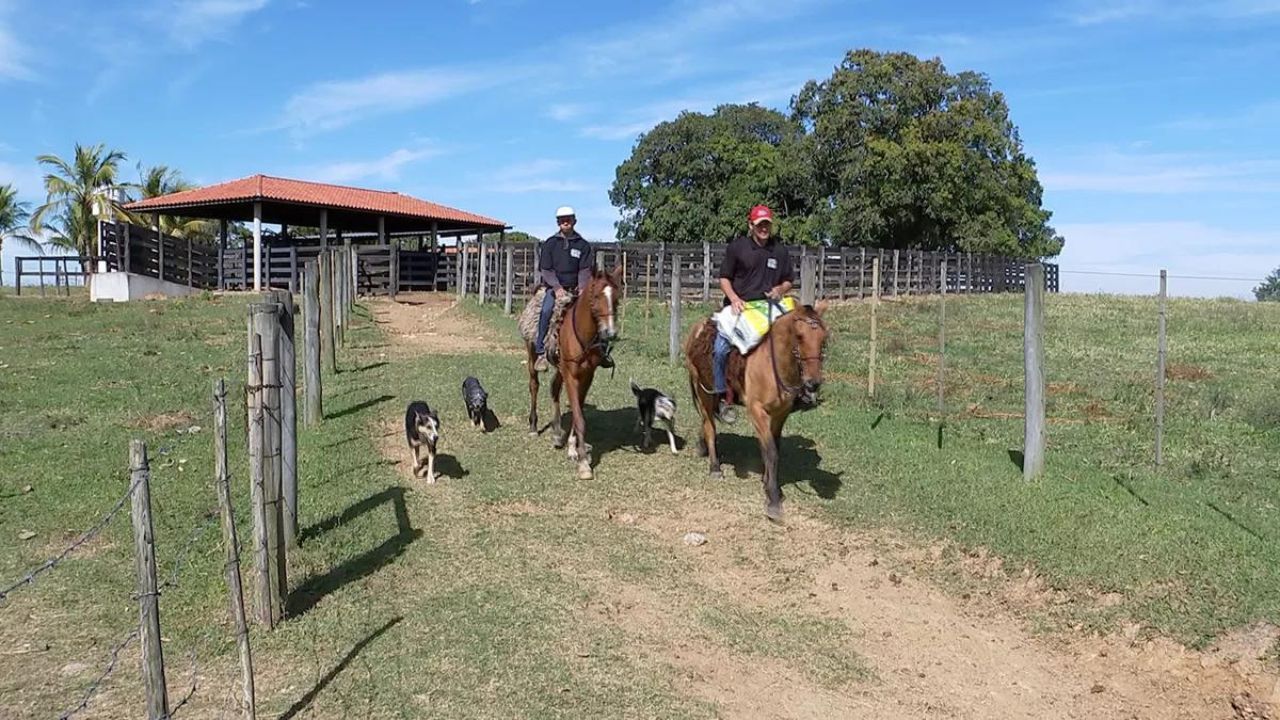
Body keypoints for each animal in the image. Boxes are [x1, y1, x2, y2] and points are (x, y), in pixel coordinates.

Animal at [517, 266, 622, 479]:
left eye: (616, 297)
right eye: (596, 296)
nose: (610, 333)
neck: (581, 334)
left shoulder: (587, 376)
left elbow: (577, 412)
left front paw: (573, 449)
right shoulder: (572, 376)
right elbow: (579, 417)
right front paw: (583, 464)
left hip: (561, 368)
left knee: (554, 389)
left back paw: (558, 433)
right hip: (532, 355)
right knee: (534, 386)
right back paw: (533, 426)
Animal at [680, 299, 829, 517]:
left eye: (823, 338)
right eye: (800, 336)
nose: (813, 383)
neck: (772, 366)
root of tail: (696, 330)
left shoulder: (780, 414)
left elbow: (773, 448)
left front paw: (769, 484)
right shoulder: (757, 411)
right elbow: (771, 451)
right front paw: (773, 498)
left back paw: (702, 446)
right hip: (703, 390)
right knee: (709, 426)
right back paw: (715, 467)